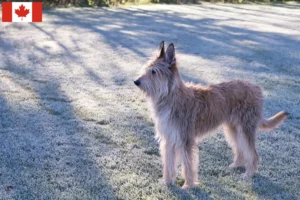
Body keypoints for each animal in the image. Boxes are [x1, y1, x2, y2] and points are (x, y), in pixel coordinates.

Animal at [133, 41, 286, 188]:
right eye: (147, 70)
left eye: (154, 72)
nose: (136, 81)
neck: (171, 96)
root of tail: (257, 87)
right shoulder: (169, 139)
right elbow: (168, 163)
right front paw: (167, 182)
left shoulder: (185, 140)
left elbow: (188, 165)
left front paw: (188, 185)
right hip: (233, 129)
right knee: (240, 149)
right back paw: (236, 165)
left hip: (245, 129)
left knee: (253, 153)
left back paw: (249, 173)